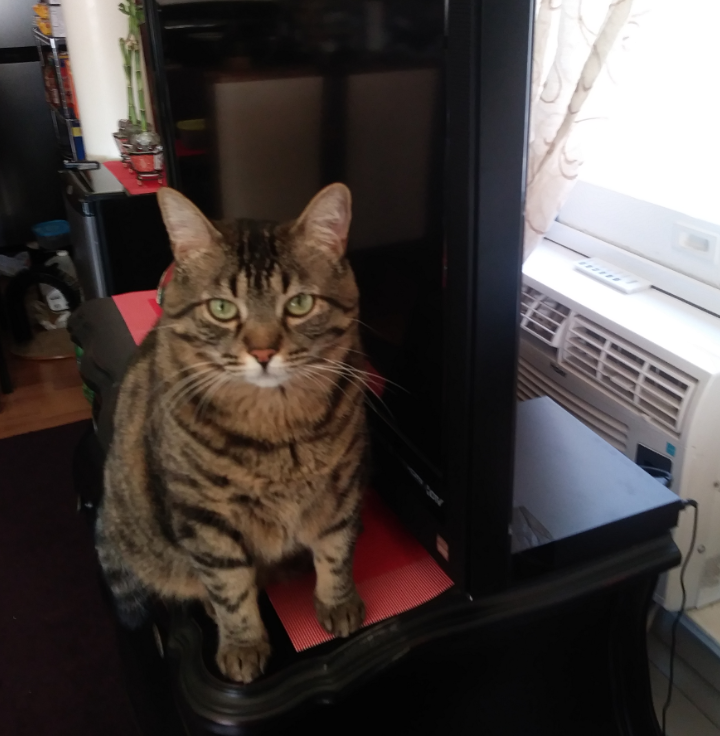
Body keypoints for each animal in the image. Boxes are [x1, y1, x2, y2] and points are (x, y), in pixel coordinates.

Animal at [96, 183, 367, 683]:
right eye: (222, 309)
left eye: (299, 304)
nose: (262, 352)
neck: (277, 425)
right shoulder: (205, 518)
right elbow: (230, 588)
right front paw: (243, 644)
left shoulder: (343, 487)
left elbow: (336, 550)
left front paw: (338, 602)